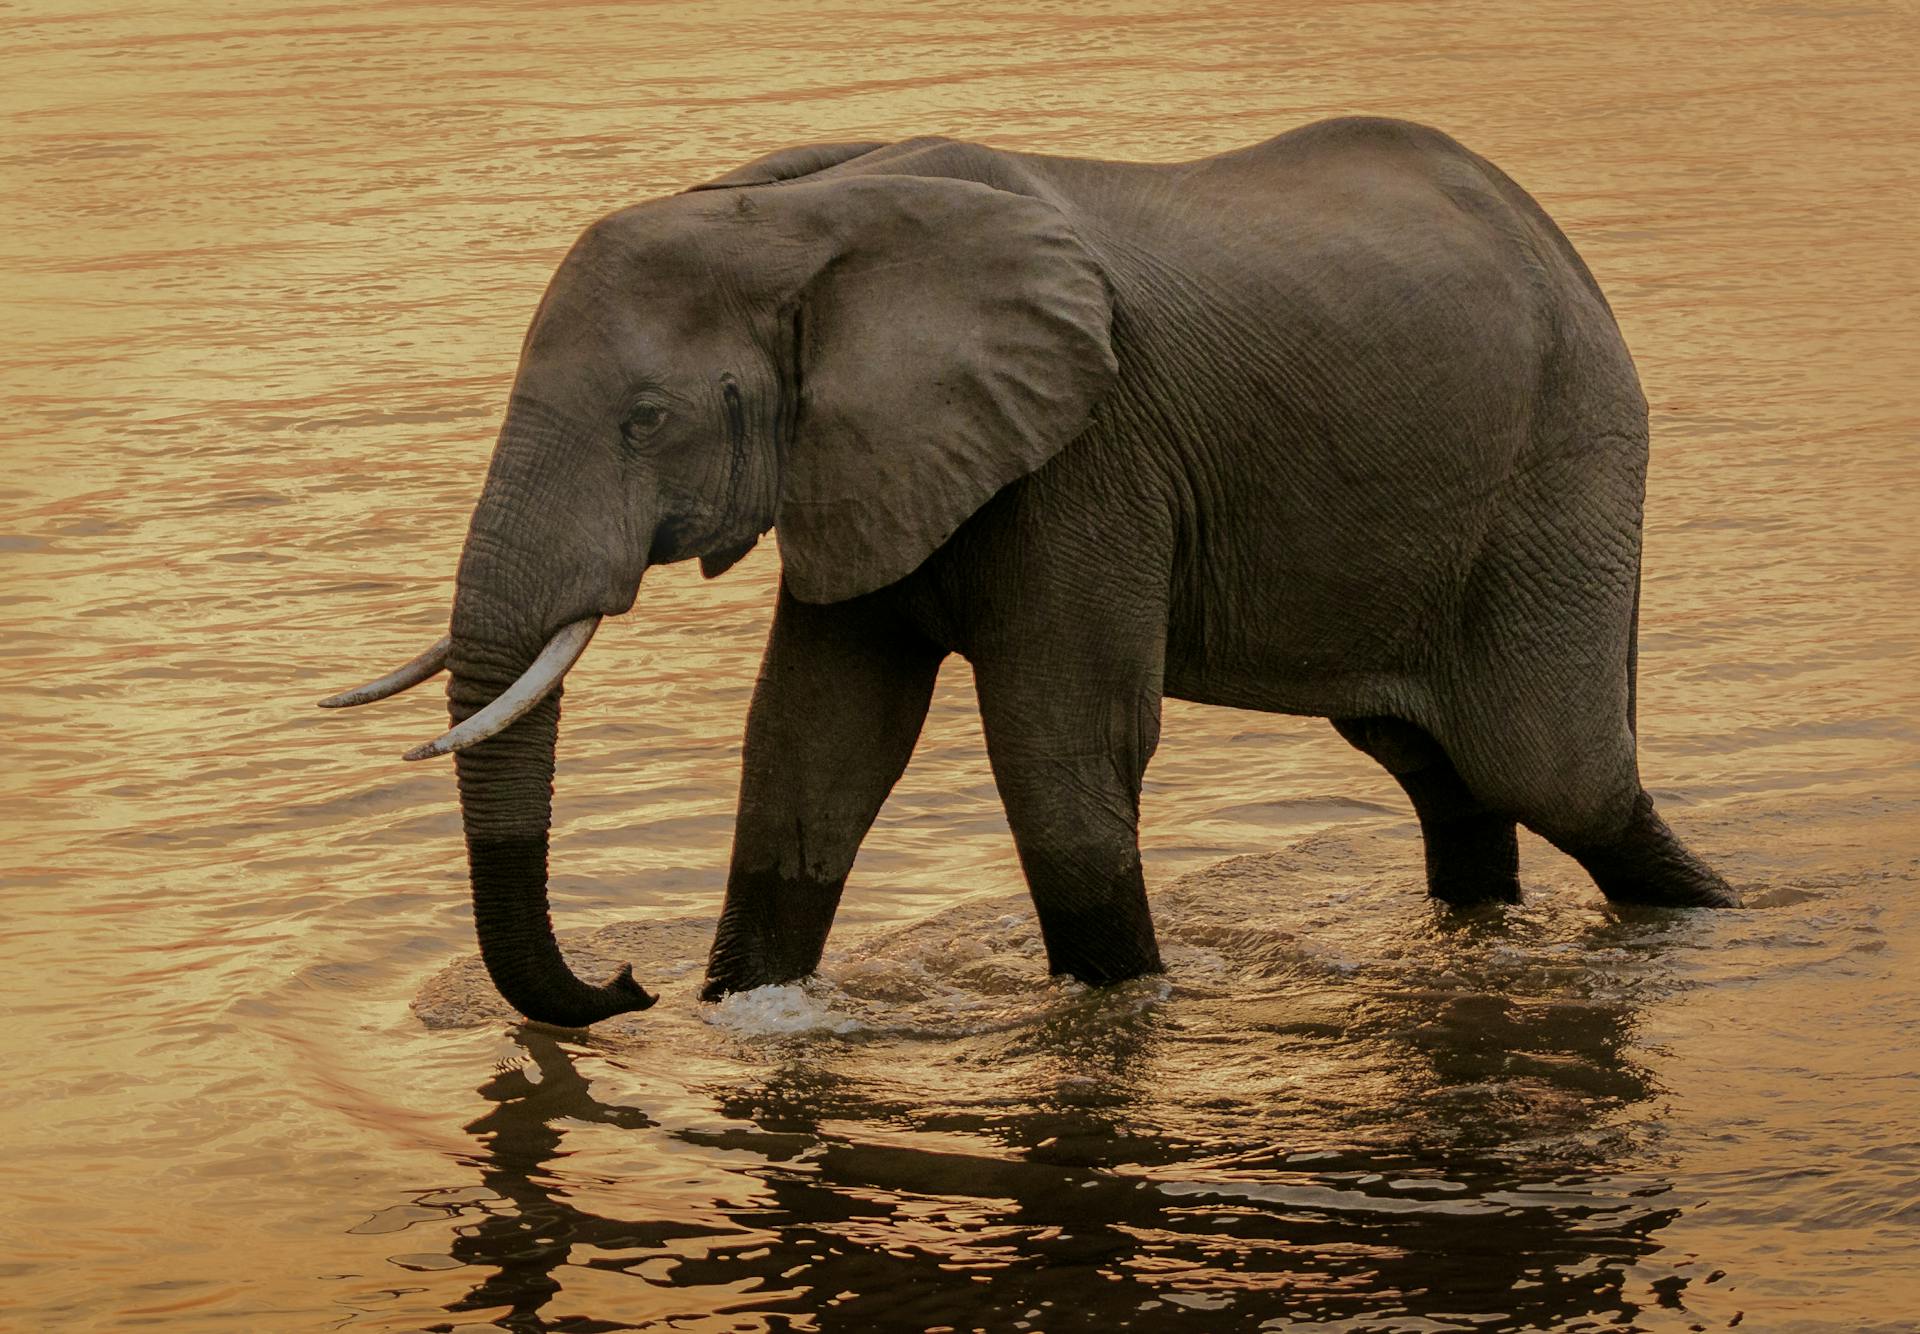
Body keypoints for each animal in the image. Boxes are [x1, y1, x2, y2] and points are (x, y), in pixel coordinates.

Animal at [318, 114, 1743, 1036]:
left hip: (1564, 461)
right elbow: (811, 744)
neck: (797, 215)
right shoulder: (870, 458)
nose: (627, 984)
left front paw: (1116, 1001)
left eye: (644, 421)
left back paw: (1708, 920)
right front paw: (746, 1006)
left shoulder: (1088, 452)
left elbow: (1060, 741)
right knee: (1443, 771)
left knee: (1550, 769)